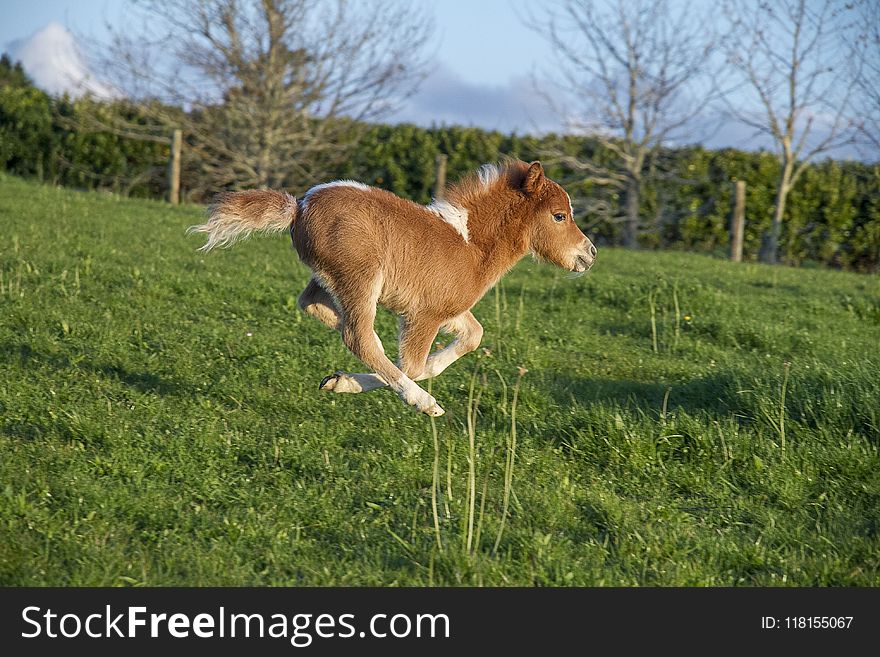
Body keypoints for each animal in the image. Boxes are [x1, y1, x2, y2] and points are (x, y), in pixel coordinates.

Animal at [189, 160, 596, 416]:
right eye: (559, 216)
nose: (589, 253)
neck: (471, 246)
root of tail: (299, 206)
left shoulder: (449, 309)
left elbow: (471, 337)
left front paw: (343, 381)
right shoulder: (424, 315)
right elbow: (411, 366)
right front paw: (409, 391)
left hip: (330, 277)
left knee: (314, 305)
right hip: (361, 276)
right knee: (359, 337)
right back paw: (420, 400)